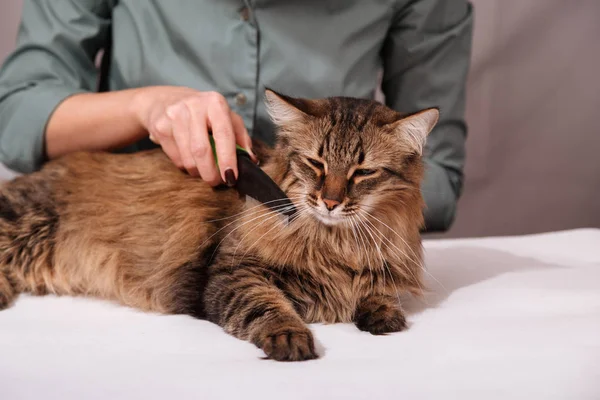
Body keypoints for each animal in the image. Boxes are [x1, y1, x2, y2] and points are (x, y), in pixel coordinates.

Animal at [0, 89, 440, 360]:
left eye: (362, 172)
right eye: (315, 164)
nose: (330, 202)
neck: (336, 243)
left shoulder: (379, 265)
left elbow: (378, 290)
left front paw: (382, 314)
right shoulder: (231, 272)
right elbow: (267, 307)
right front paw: (290, 338)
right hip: (23, 222)